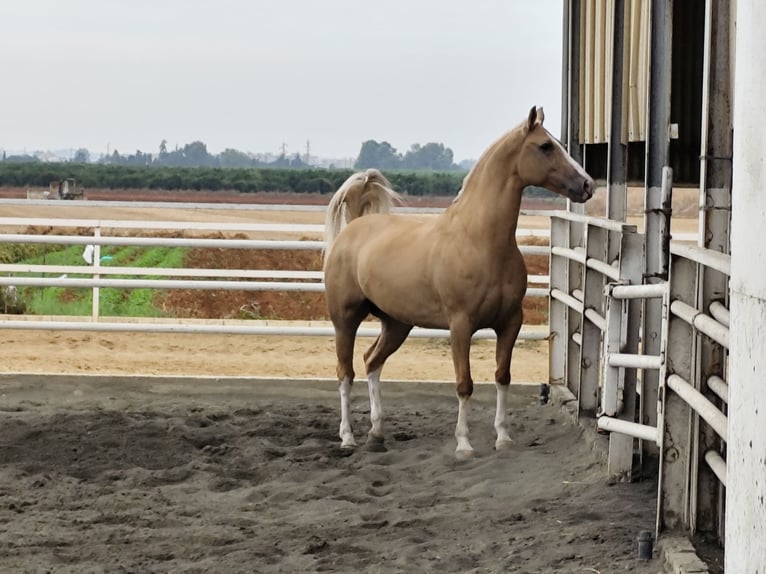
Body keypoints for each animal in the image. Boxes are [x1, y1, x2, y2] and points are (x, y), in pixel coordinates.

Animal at [322, 106, 594, 457]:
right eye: (545, 146)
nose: (587, 185)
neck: (479, 240)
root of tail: (353, 226)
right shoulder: (461, 325)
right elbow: (464, 384)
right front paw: (464, 444)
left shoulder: (510, 323)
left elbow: (502, 376)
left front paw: (503, 438)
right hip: (345, 320)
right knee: (346, 373)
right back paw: (347, 437)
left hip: (396, 324)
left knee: (372, 362)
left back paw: (377, 434)